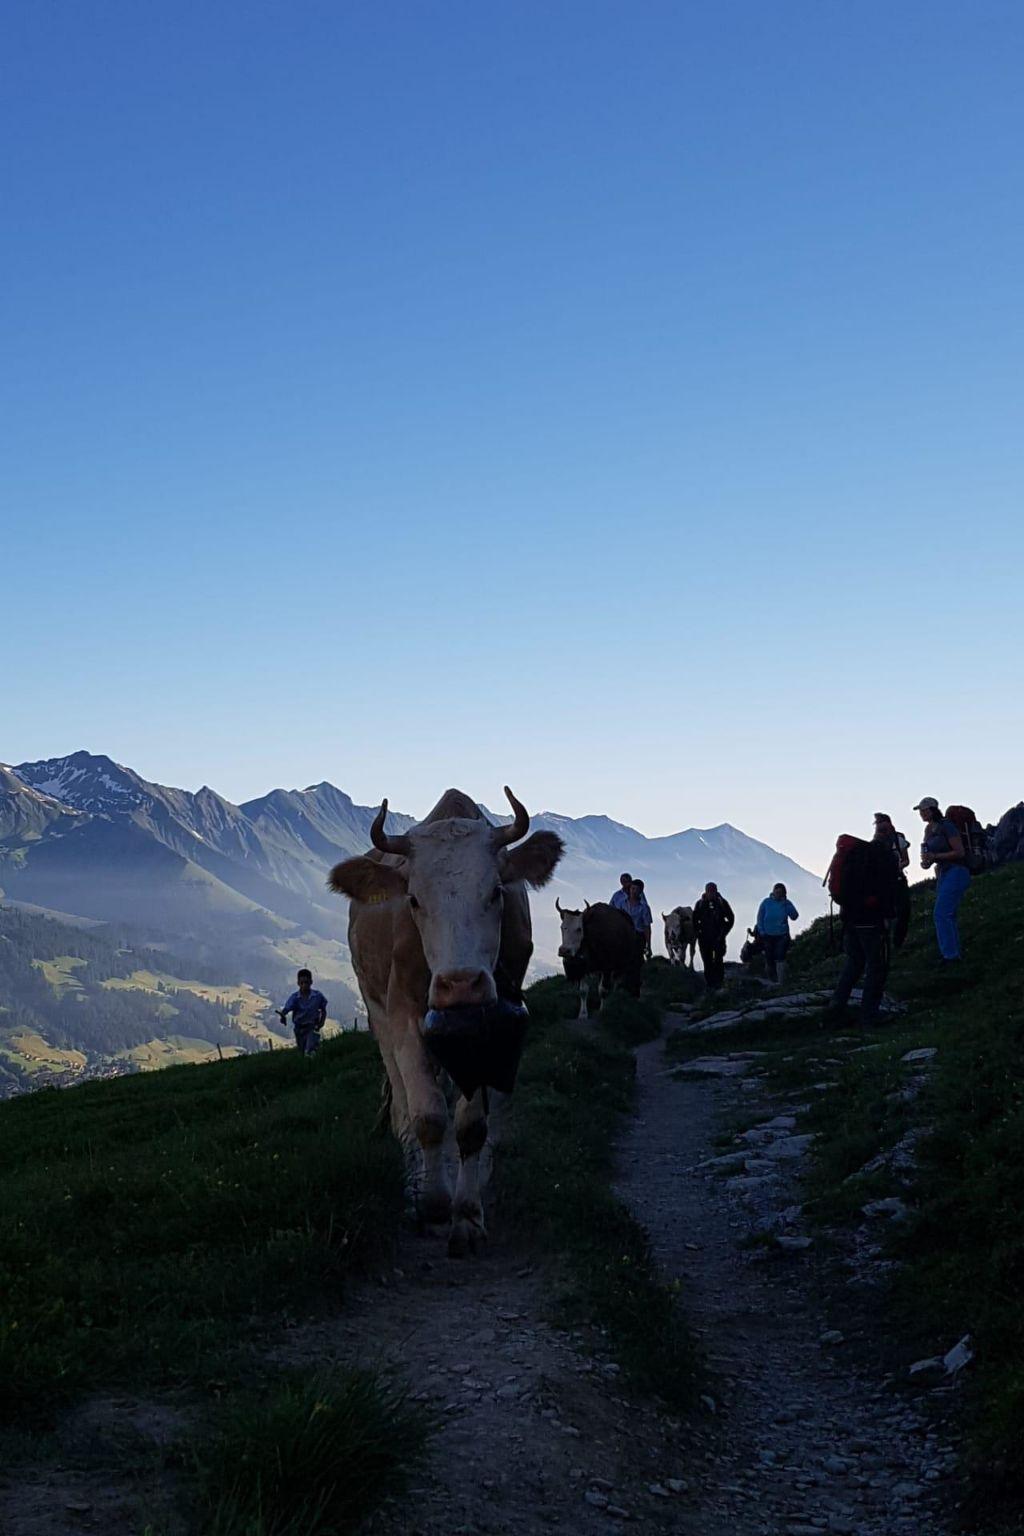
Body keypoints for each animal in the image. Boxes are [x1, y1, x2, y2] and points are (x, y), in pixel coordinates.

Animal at [330, 792, 561, 1259]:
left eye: (496, 892)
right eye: (414, 900)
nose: (460, 985)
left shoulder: (491, 1032)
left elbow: (470, 1127)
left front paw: (467, 1217)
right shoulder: (403, 1015)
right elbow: (428, 1116)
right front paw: (433, 1202)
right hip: (376, 1009)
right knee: (402, 1106)